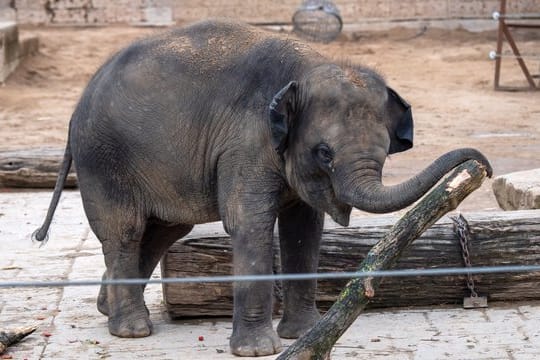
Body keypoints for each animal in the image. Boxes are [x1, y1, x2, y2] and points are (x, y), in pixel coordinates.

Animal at [32, 20, 490, 358]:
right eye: (324, 153)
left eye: (386, 150)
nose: (479, 164)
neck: (304, 70)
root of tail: (77, 106)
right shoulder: (246, 143)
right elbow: (249, 223)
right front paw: (258, 351)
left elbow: (304, 230)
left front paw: (302, 334)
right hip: (104, 159)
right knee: (125, 232)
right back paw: (131, 330)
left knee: (163, 230)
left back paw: (106, 309)